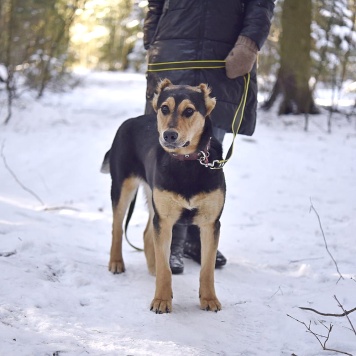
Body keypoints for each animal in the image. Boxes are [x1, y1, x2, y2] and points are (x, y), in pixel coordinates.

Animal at [101, 79, 227, 312]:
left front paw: (209, 299)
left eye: (189, 111)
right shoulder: (166, 220)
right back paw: (116, 263)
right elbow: (165, 267)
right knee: (117, 227)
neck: (187, 163)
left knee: (147, 233)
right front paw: (161, 300)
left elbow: (207, 269)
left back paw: (151, 267)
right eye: (164, 109)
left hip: (155, 200)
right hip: (123, 188)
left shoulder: (210, 223)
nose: (168, 135)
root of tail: (130, 121)